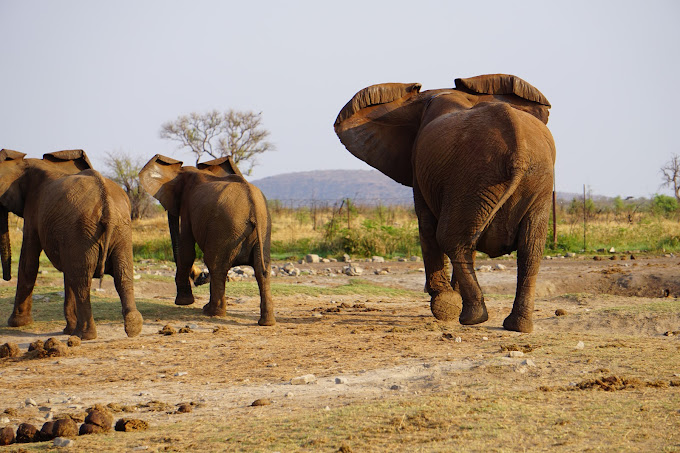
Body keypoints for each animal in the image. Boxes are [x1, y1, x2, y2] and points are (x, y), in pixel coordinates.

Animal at [0, 149, 143, 340]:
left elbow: (28, 261)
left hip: (84, 231)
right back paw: (133, 327)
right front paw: (67, 329)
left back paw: (84, 335)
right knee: (122, 275)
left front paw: (17, 323)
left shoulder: (33, 210)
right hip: (119, 231)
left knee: (82, 282)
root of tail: (107, 204)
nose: (6, 278)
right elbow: (67, 271)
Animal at [138, 154, 276, 324]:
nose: (199, 279)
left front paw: (184, 302)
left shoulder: (187, 206)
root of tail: (253, 205)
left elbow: (186, 250)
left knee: (215, 265)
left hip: (225, 228)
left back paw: (211, 312)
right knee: (262, 269)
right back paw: (266, 322)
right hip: (262, 230)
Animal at [332, 73, 556, 332]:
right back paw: (515, 325)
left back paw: (469, 316)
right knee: (528, 248)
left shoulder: (421, 169)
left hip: (476, 177)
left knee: (451, 239)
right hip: (528, 182)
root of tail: (519, 152)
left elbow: (427, 223)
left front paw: (444, 302)